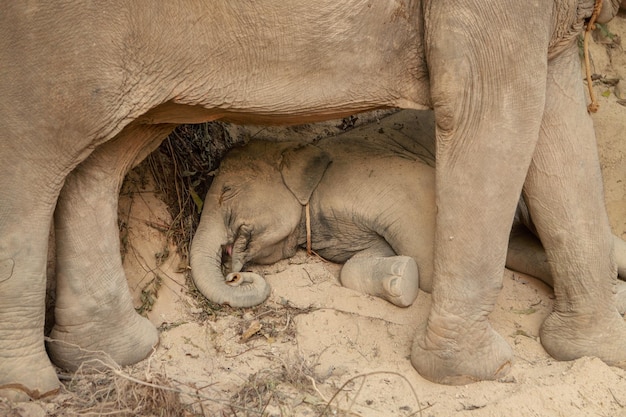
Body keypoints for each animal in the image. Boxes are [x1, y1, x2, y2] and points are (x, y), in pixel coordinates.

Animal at [189, 132, 624, 308]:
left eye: (227, 191)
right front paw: (400, 279)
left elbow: (431, 263)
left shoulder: (396, 182)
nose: (235, 275)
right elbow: (355, 266)